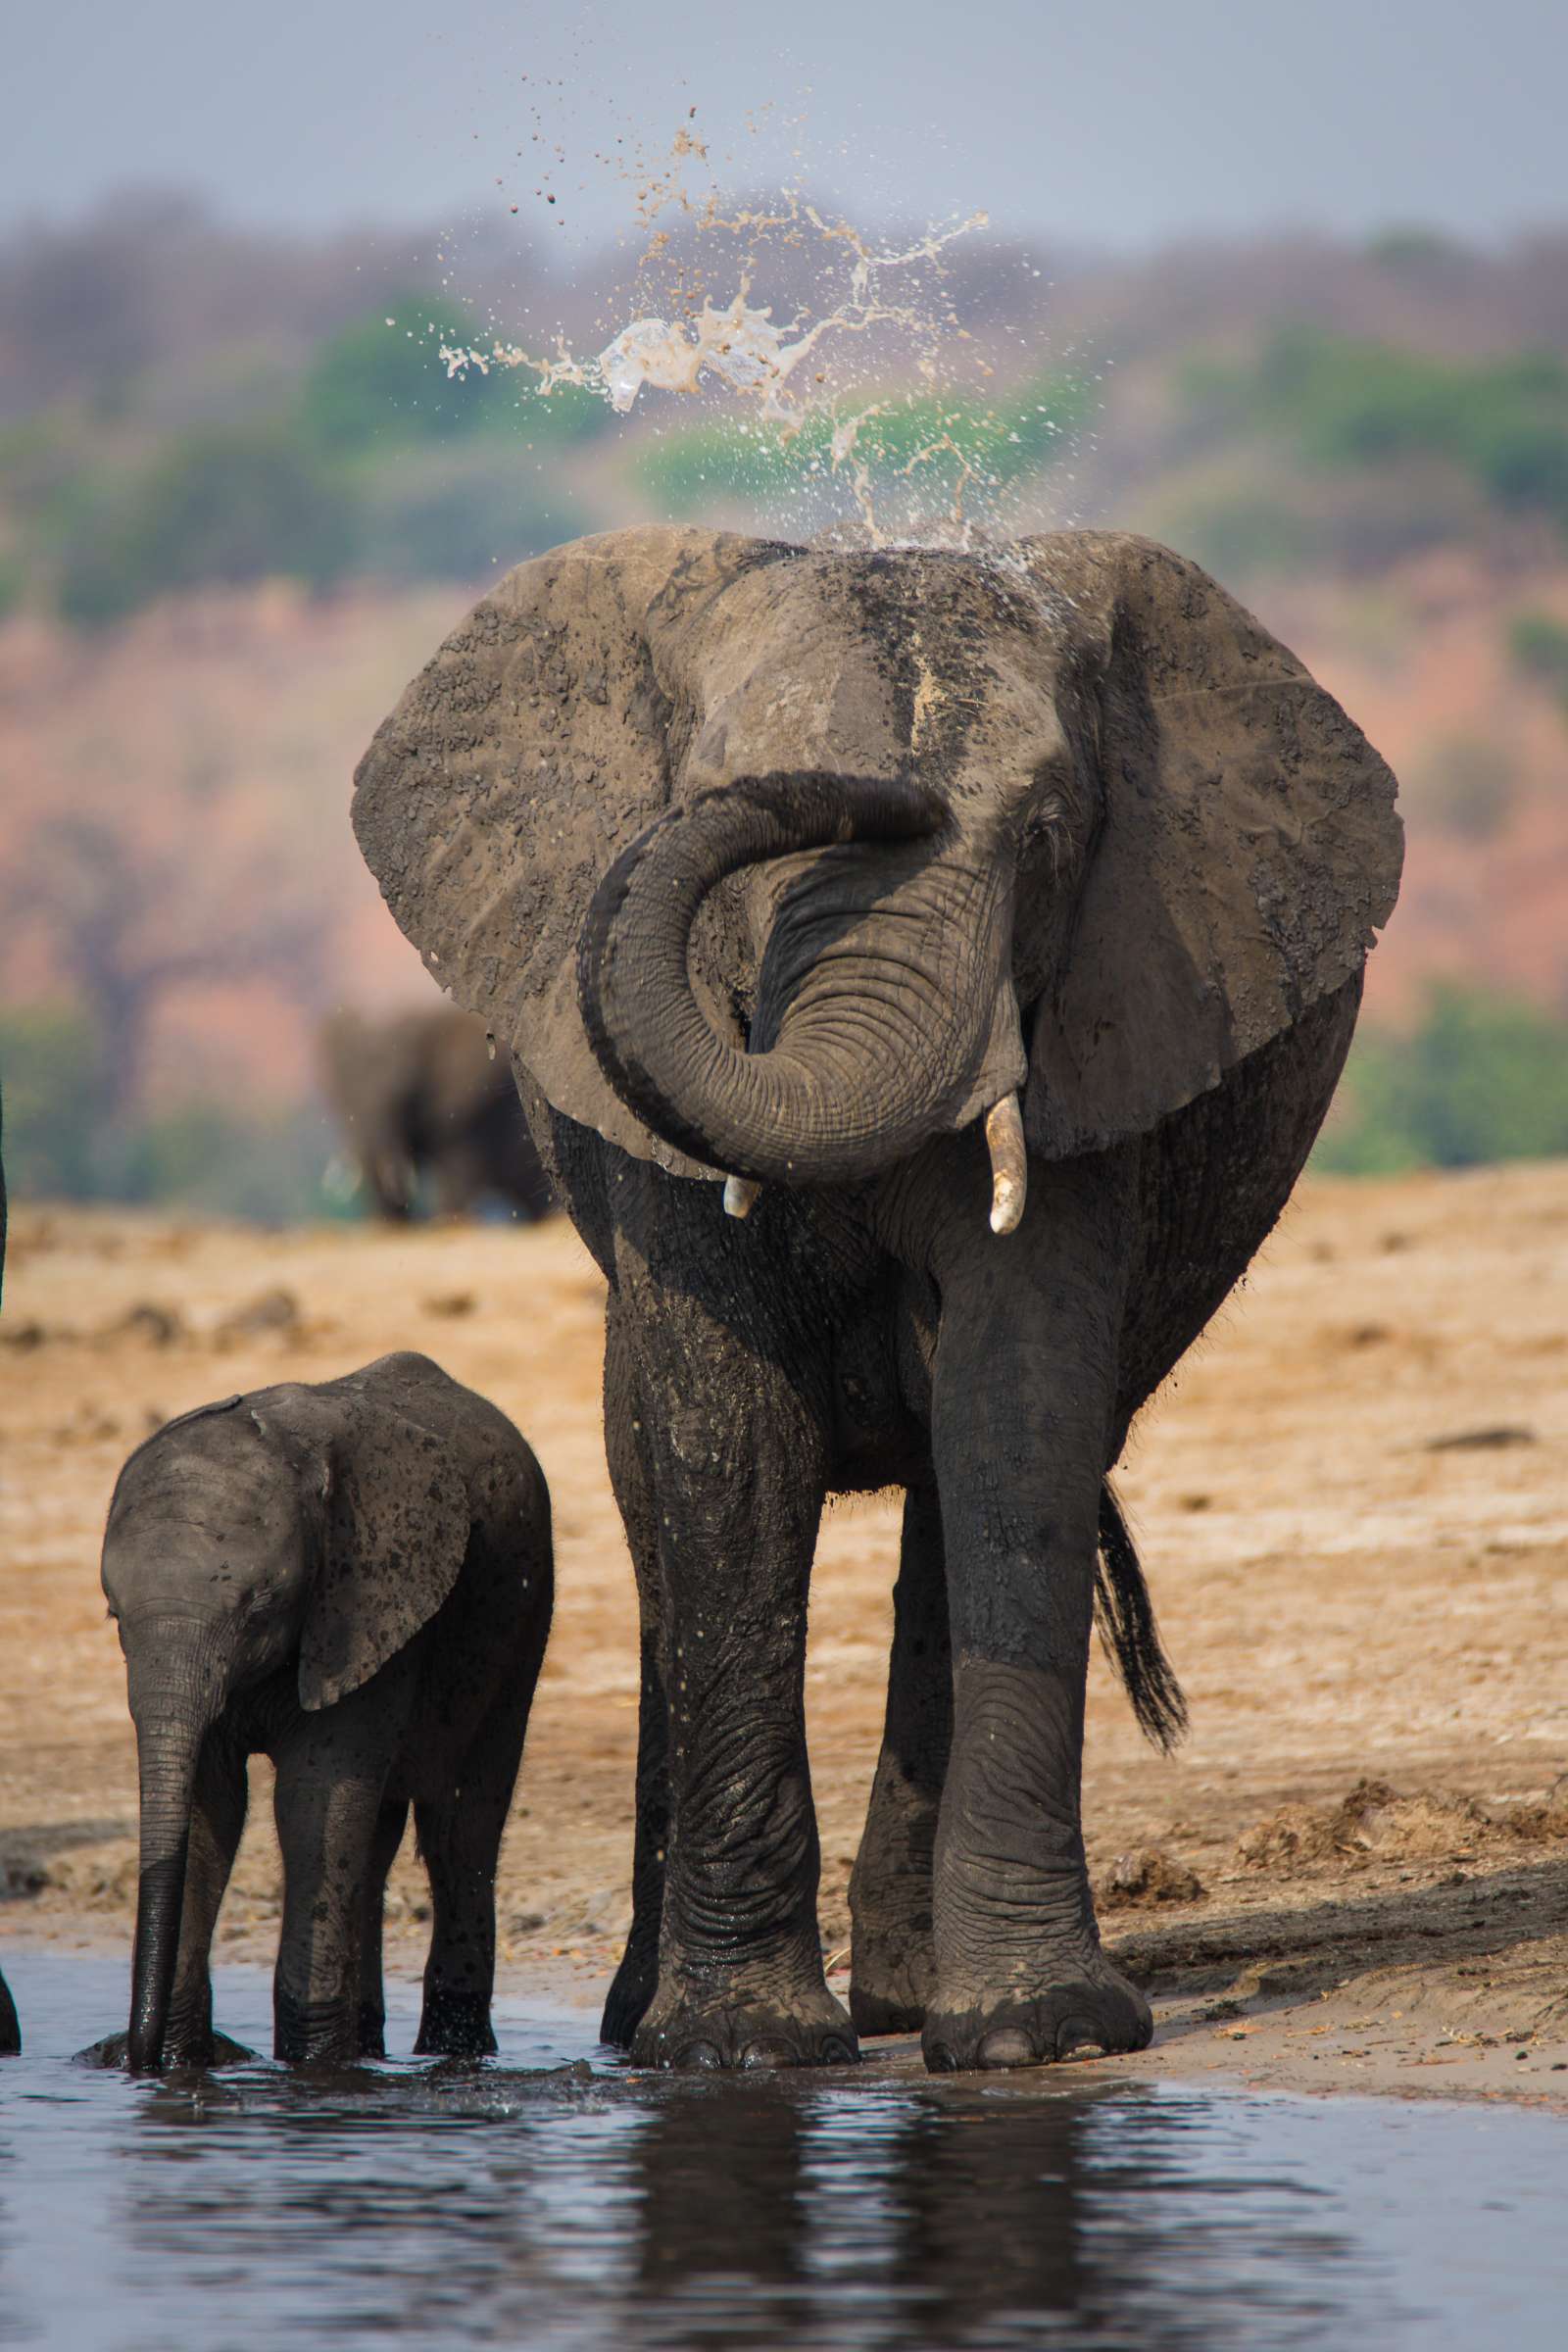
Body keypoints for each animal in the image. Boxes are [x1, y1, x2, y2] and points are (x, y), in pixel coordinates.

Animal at [96, 1354, 552, 2070]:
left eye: (260, 1607)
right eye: (114, 1613)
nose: (131, 2058)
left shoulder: (366, 1603)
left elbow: (311, 1802)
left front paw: (309, 2068)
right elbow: (211, 1803)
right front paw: (180, 2064)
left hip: (520, 1620)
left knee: (461, 1830)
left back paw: (454, 2054)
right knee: (377, 1841)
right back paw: (371, 2046)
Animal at [352, 524, 1400, 2070]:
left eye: (1044, 834)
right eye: (717, 798)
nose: (888, 783)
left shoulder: (1089, 1036)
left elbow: (1016, 1417)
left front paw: (1040, 2038)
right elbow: (727, 1448)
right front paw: (737, 2051)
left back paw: (910, 2004)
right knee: (655, 1509)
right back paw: (644, 2021)